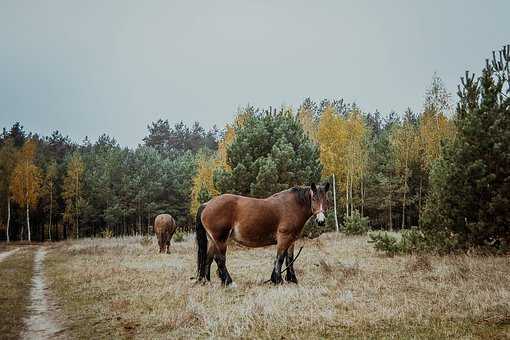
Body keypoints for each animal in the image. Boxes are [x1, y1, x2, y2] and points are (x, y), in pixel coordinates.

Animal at [195, 182, 330, 286]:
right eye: (314, 198)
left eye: (326, 200)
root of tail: (207, 204)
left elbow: (289, 259)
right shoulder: (284, 238)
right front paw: (278, 280)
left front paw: (292, 280)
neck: (292, 205)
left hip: (212, 240)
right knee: (220, 259)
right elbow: (280, 258)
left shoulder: (291, 240)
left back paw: (207, 281)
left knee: (208, 258)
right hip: (220, 240)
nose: (321, 221)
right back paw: (229, 282)